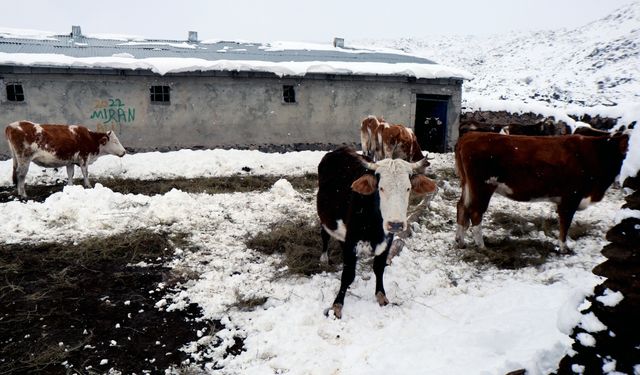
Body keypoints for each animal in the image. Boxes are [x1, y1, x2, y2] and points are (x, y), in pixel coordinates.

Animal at [318, 147, 438, 318]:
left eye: (408, 188)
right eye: (381, 188)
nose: (396, 224)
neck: (374, 226)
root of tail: (339, 150)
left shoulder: (387, 239)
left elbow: (379, 267)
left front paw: (381, 295)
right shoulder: (352, 240)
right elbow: (348, 274)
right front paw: (337, 305)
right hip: (324, 218)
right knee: (325, 234)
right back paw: (324, 257)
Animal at [456, 131, 632, 253]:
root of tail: (470, 135)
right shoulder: (571, 198)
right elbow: (565, 224)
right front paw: (563, 248)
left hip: (468, 185)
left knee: (462, 207)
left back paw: (460, 241)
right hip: (483, 186)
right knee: (475, 213)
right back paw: (481, 246)